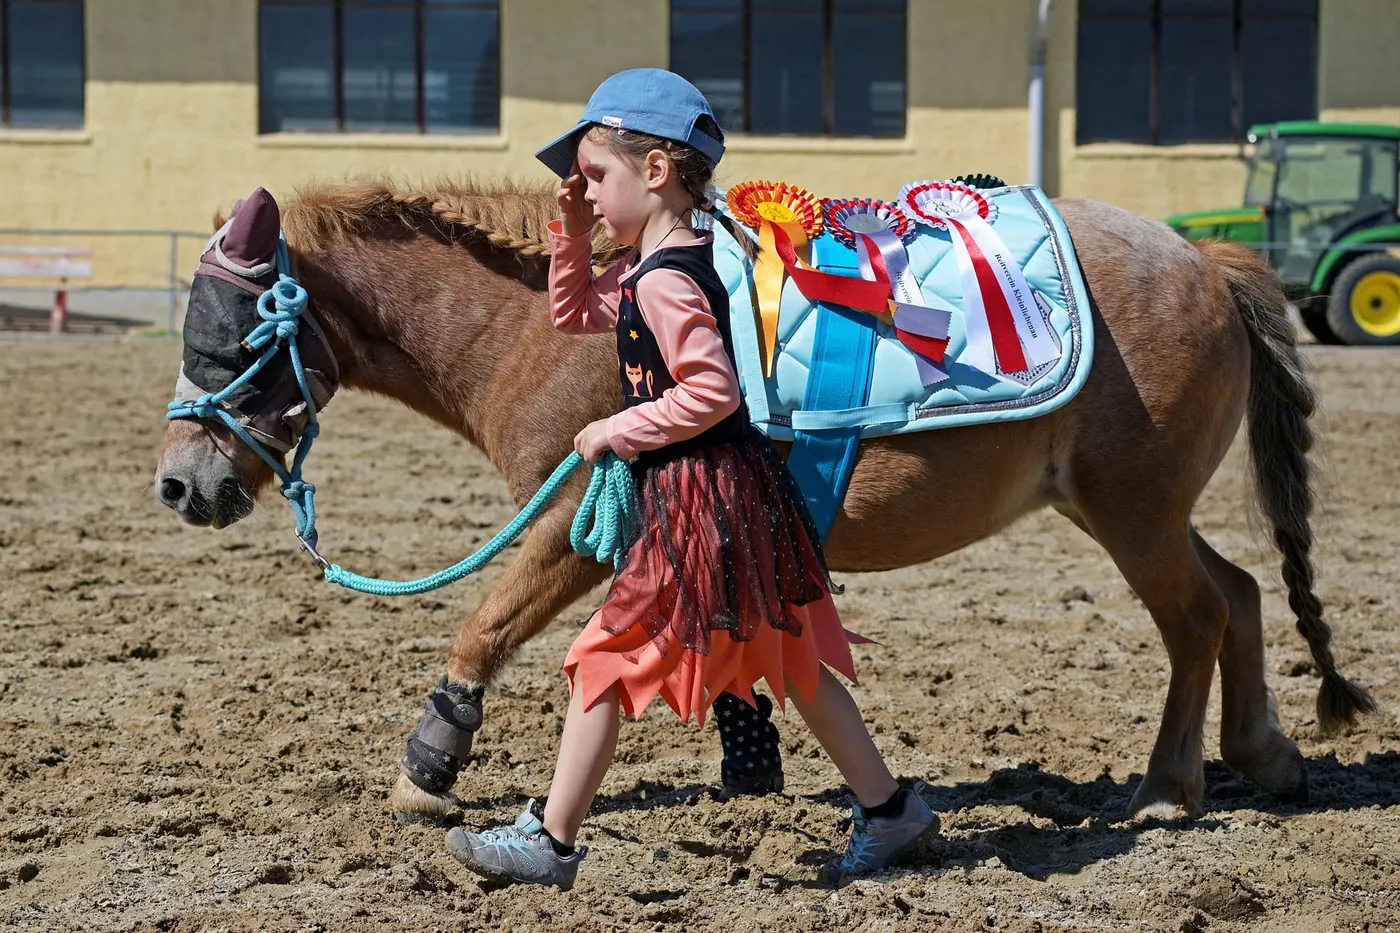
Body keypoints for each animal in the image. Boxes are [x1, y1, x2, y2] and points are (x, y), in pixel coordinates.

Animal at [153, 178, 1374, 826]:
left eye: (225, 331)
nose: (178, 483)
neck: (555, 329)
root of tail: (1206, 262)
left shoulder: (577, 522)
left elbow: (484, 624)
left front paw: (428, 768)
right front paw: (753, 768)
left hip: (1132, 514)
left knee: (1198, 615)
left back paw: (1169, 787)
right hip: (1134, 510)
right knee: (1241, 593)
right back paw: (1263, 757)